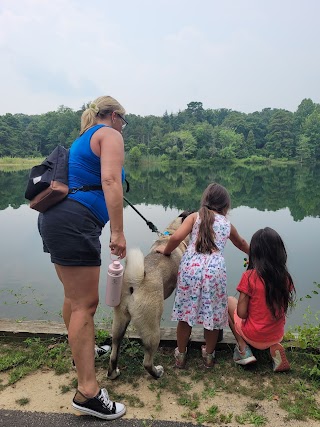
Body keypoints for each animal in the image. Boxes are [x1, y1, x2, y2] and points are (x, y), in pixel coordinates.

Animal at [107, 212, 192, 380]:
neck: (171, 233)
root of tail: (135, 282)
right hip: (152, 329)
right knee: (147, 362)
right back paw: (157, 373)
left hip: (119, 321)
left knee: (114, 350)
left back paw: (113, 373)